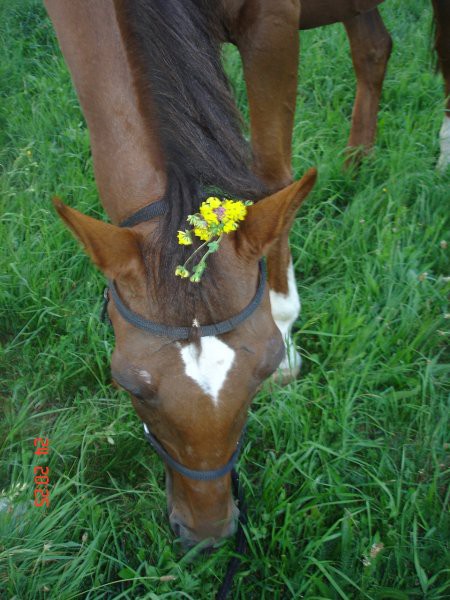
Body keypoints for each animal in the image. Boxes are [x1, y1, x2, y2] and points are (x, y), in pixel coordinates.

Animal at [44, 0, 446, 548]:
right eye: (130, 386)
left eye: (262, 371)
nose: (209, 534)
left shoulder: (271, 23)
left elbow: (272, 179)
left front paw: (286, 327)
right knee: (372, 49)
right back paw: (357, 164)